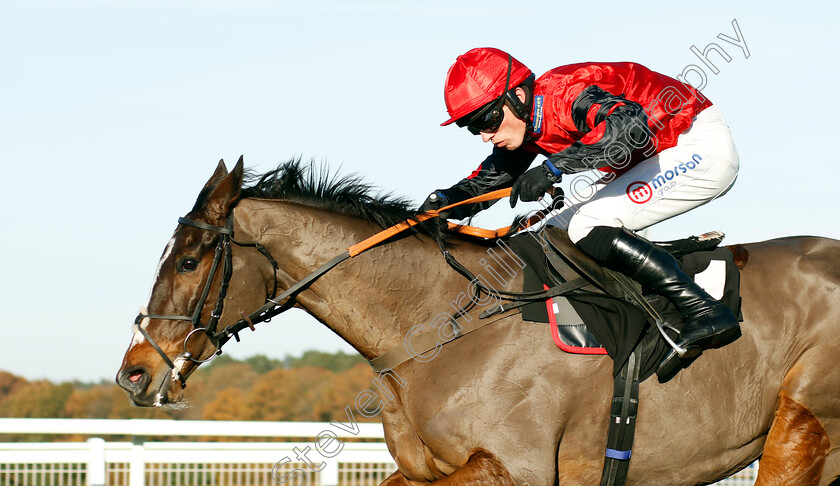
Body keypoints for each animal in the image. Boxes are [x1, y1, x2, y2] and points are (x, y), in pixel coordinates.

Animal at [116, 159, 840, 486]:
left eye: (188, 260)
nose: (135, 372)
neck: (435, 325)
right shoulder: (425, 469)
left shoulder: (516, 469)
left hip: (802, 424)